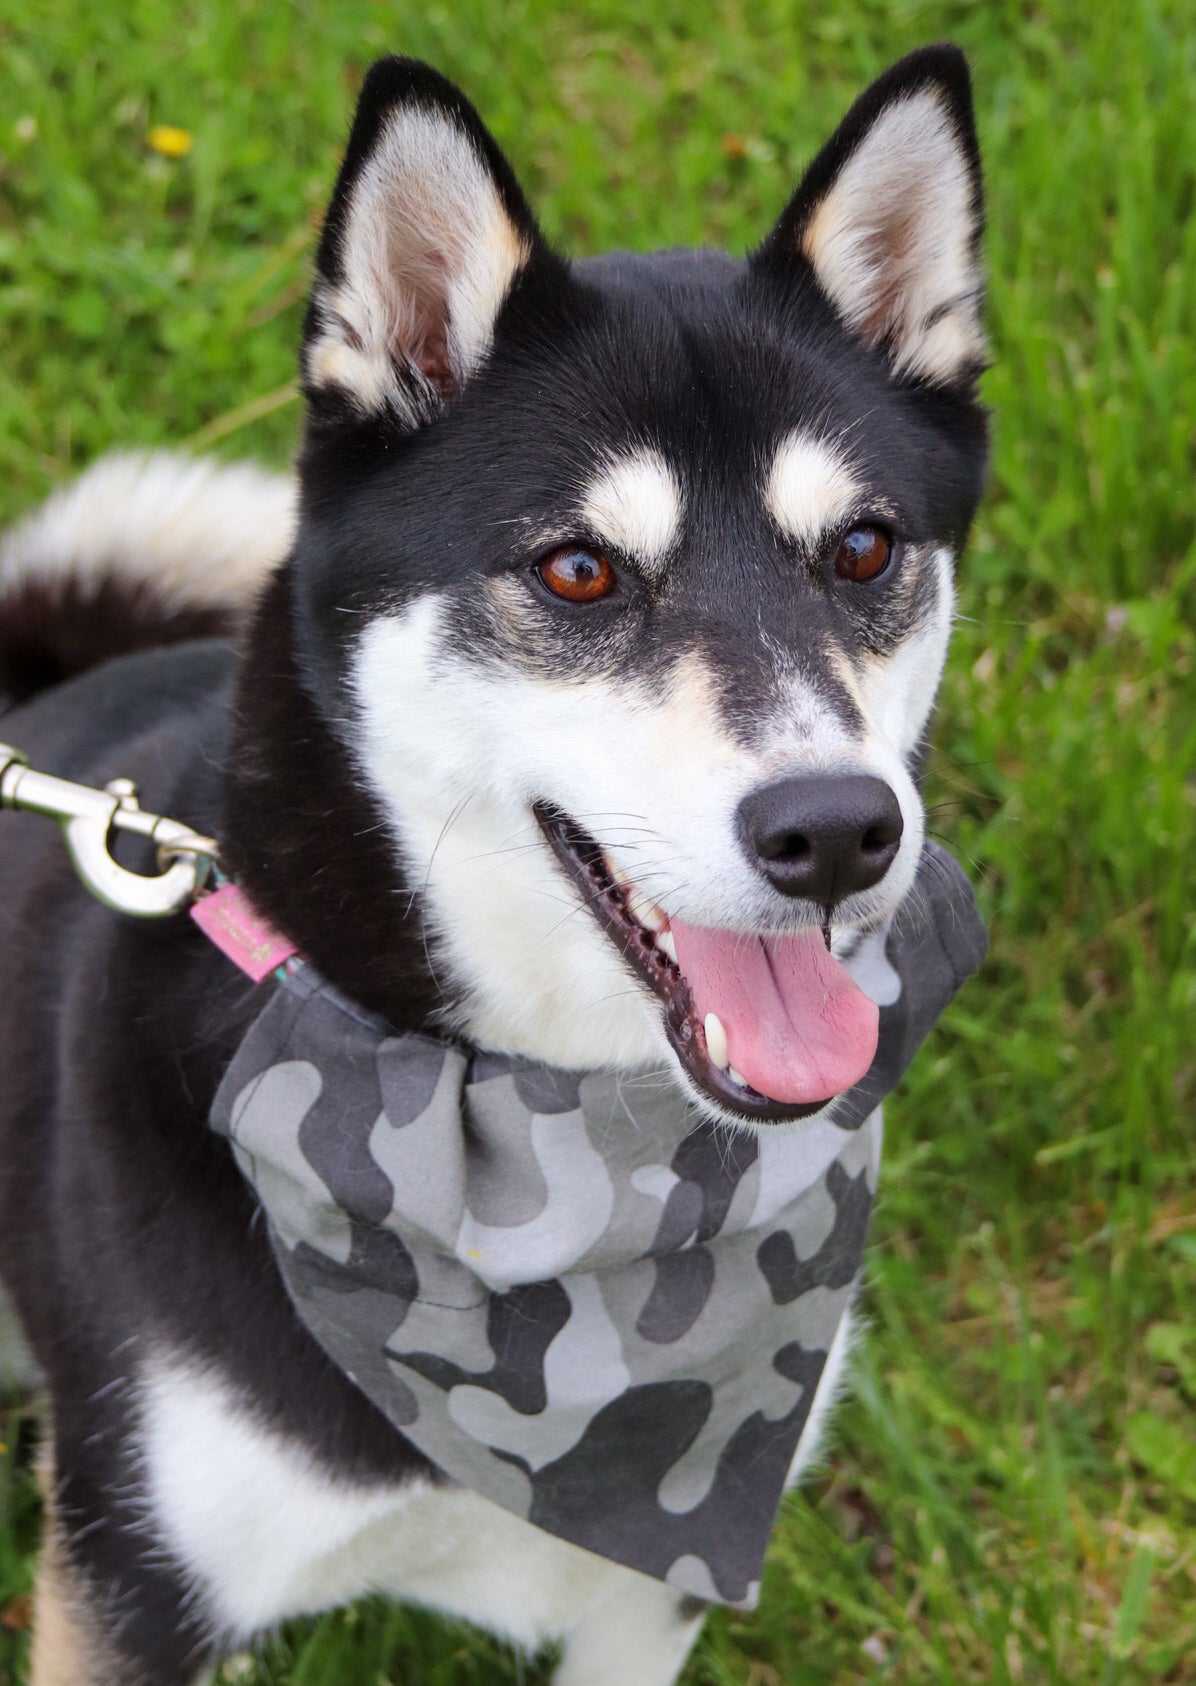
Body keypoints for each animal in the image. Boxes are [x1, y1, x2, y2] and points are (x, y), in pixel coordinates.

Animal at [0, 46, 985, 1686]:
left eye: (861, 550)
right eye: (578, 570)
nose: (839, 829)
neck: (532, 1122)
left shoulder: (640, 1609)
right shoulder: (131, 1587)